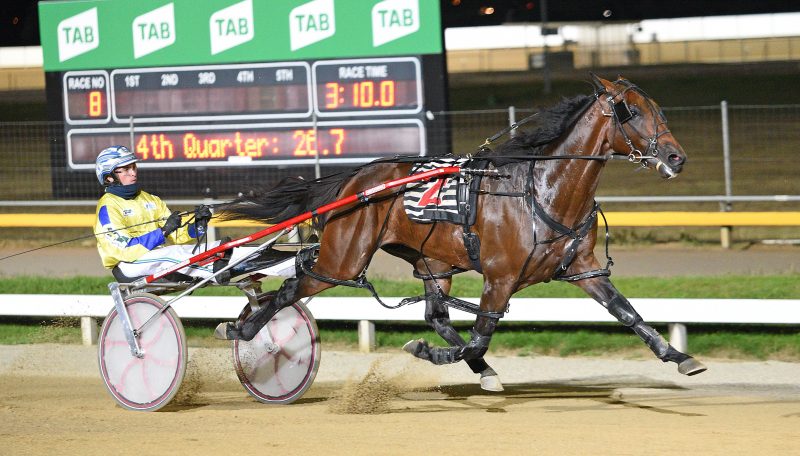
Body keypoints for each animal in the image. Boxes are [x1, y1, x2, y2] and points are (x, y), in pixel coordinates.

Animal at [214, 73, 708, 390]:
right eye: (632, 112)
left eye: (657, 108)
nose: (677, 157)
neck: (543, 192)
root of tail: (354, 179)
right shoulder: (500, 277)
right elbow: (479, 336)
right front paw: (427, 353)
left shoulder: (584, 269)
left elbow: (628, 313)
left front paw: (680, 357)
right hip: (343, 259)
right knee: (293, 286)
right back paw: (242, 329)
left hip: (431, 262)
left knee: (436, 316)